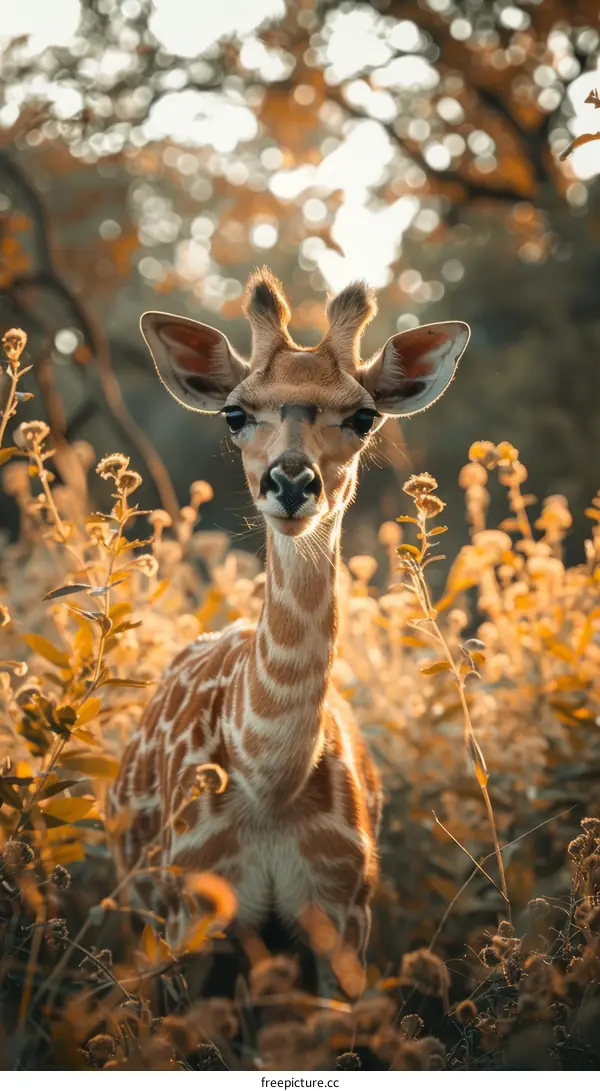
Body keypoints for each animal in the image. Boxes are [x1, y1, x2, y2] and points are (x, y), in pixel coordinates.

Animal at [108, 269, 470, 985]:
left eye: (363, 415)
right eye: (236, 412)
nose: (292, 482)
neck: (268, 785)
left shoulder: (343, 908)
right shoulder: (192, 908)